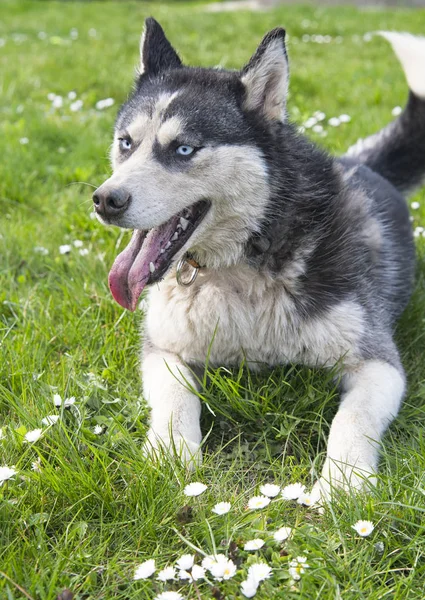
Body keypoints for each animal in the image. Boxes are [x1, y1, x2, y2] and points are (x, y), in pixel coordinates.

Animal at [93, 19, 424, 502]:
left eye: (184, 149)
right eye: (126, 143)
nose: (105, 200)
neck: (241, 268)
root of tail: (361, 163)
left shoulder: (378, 363)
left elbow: (352, 417)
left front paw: (342, 483)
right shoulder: (165, 349)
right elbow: (176, 399)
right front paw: (171, 455)